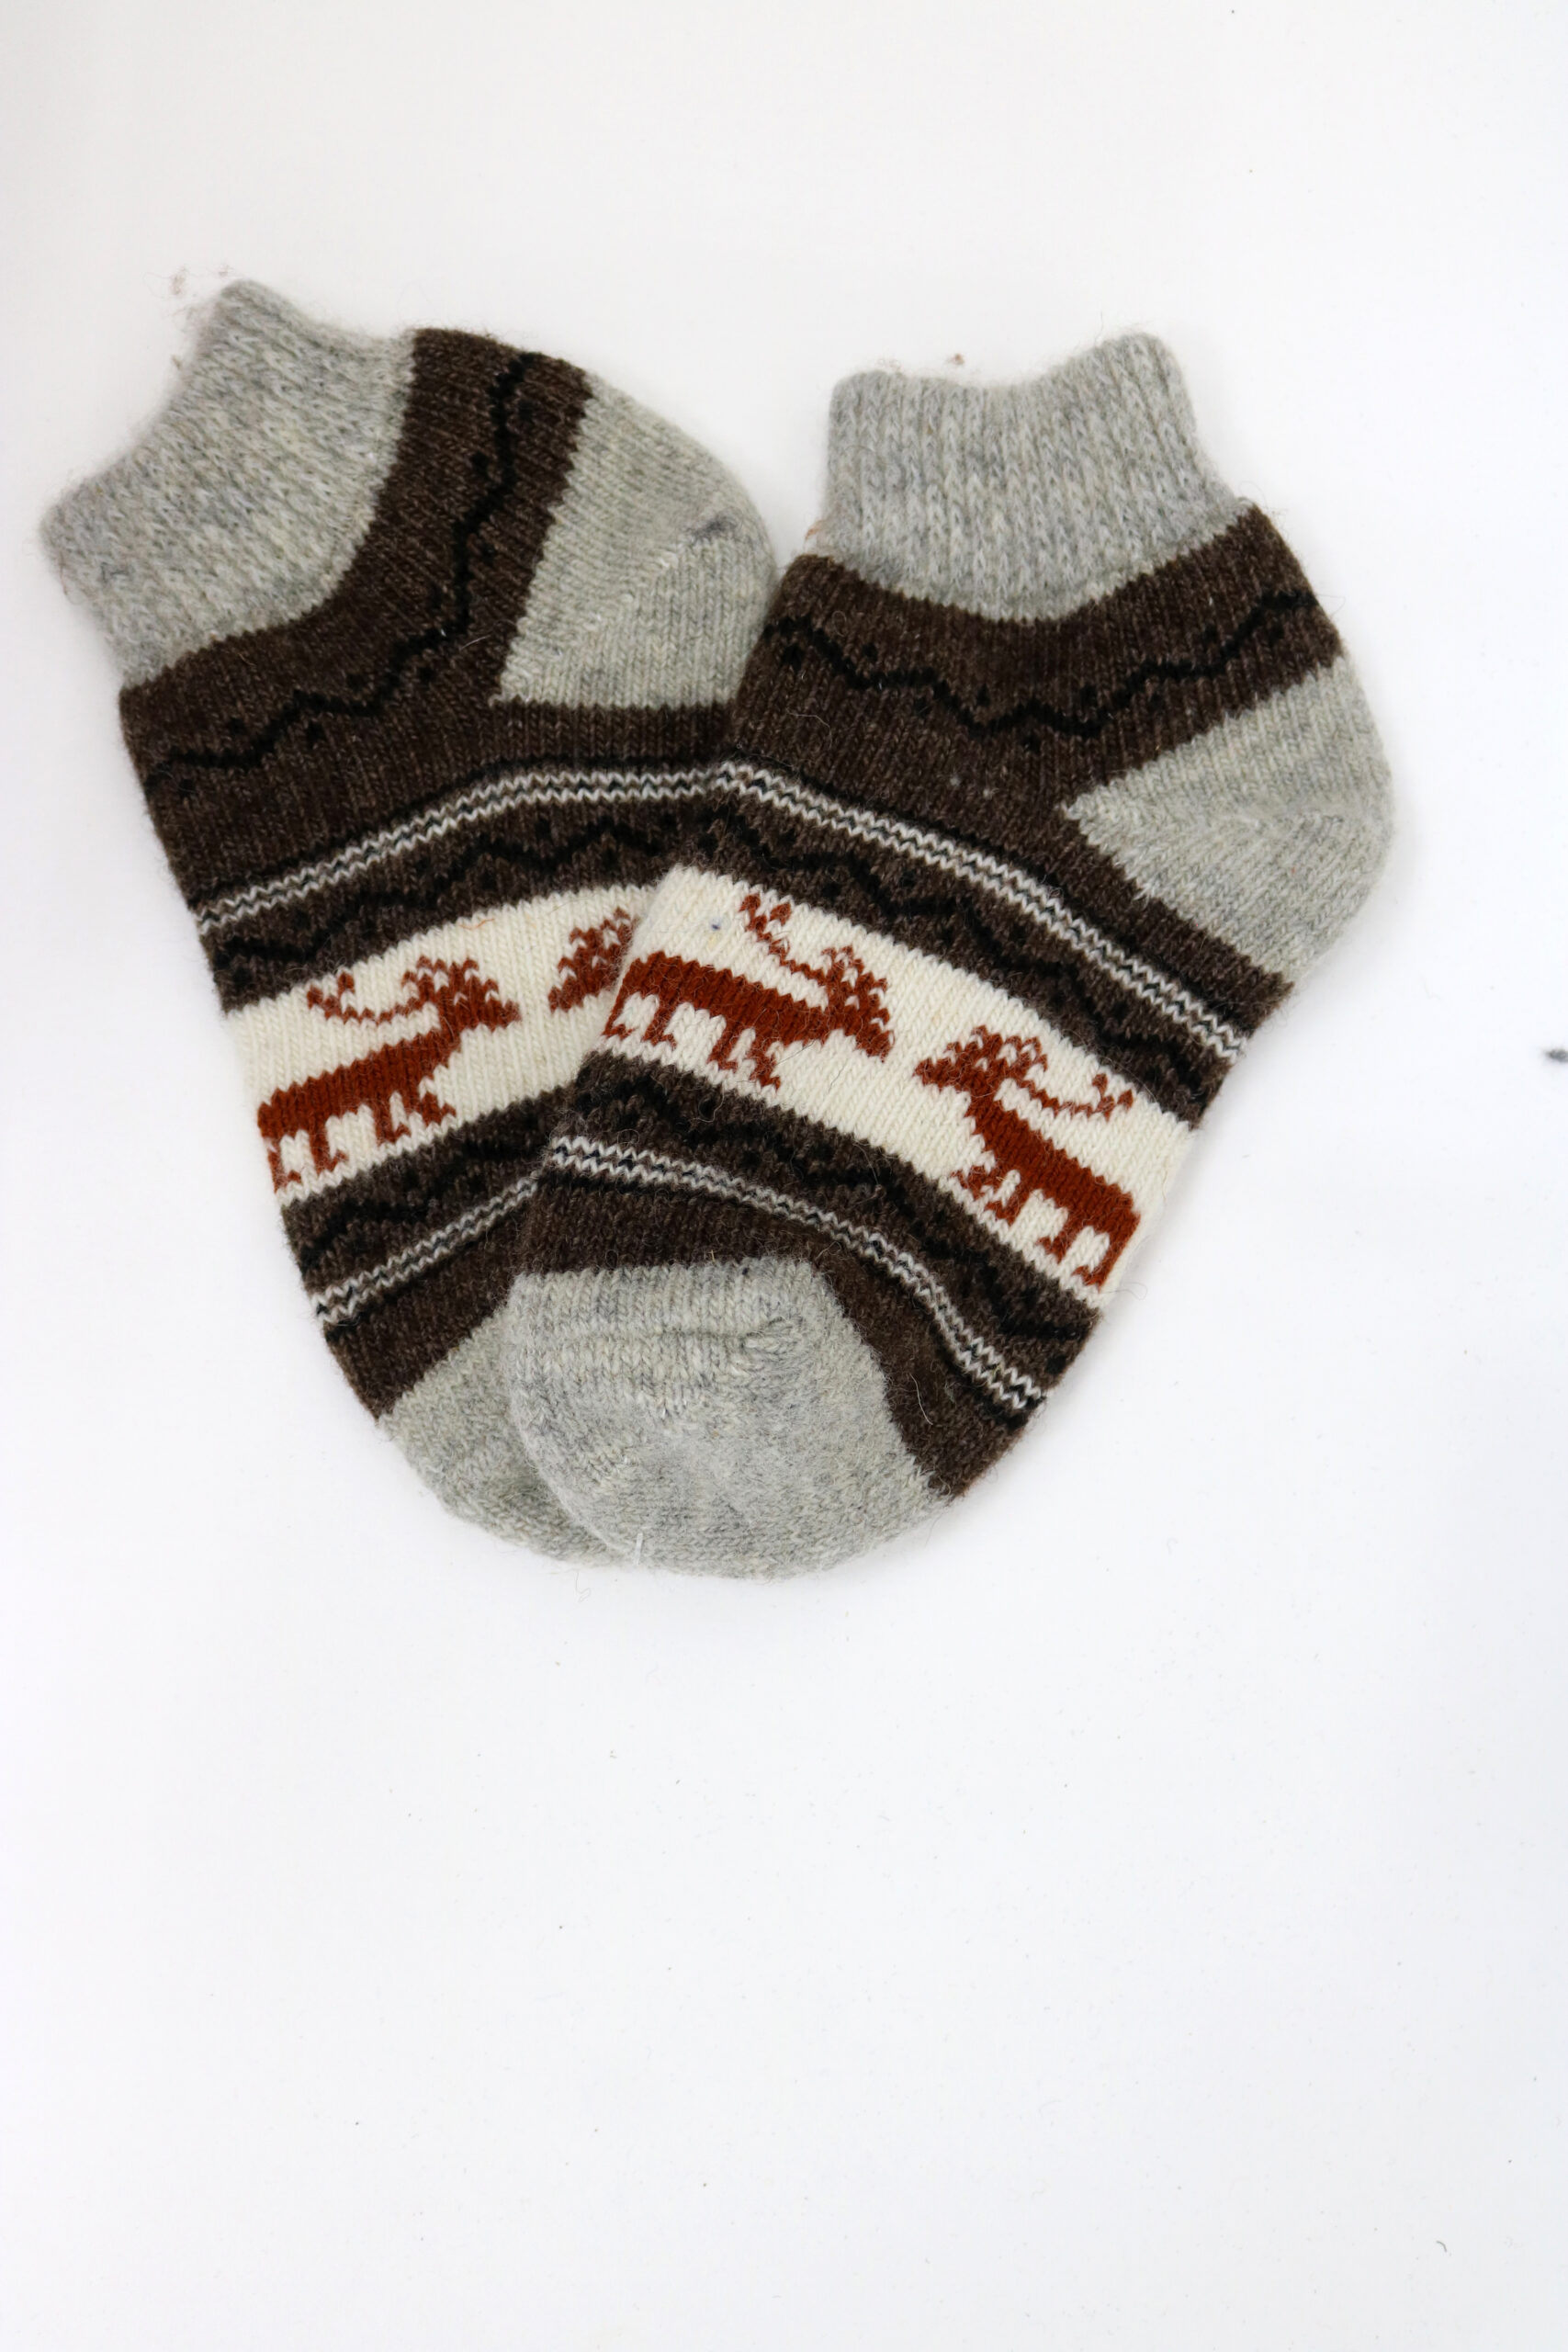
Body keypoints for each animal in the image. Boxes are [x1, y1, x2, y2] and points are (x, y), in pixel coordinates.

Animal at [257, 955, 521, 1190]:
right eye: (462, 1003)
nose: (510, 1011)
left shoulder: (394, 1092)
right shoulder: (392, 1091)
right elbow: (401, 1113)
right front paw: (408, 1129)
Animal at [603, 890, 894, 1090]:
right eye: (855, 1011)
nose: (883, 1044)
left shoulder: (748, 1027)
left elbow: (740, 1049)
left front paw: (736, 1068)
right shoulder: (753, 1027)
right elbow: (749, 1053)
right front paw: (754, 1074)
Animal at [914, 1025, 1140, 1289]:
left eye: (972, 1070)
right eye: (959, 1057)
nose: (926, 1070)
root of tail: (1133, 1211)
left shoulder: (1023, 1171)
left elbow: (1009, 1192)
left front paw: (997, 1210)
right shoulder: (1005, 1162)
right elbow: (993, 1180)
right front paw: (980, 1193)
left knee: (1104, 1251)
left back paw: (1083, 1273)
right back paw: (1054, 1251)